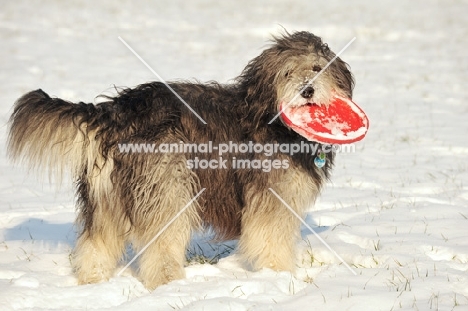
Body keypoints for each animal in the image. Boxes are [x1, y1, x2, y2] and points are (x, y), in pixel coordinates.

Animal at [7, 31, 352, 290]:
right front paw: (278, 277)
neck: (269, 115)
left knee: (96, 244)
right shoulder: (272, 199)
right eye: (287, 72)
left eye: (318, 67)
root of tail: (116, 113)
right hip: (166, 186)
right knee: (159, 243)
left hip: (106, 198)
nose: (307, 90)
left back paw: (93, 284)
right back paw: (169, 283)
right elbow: (272, 240)